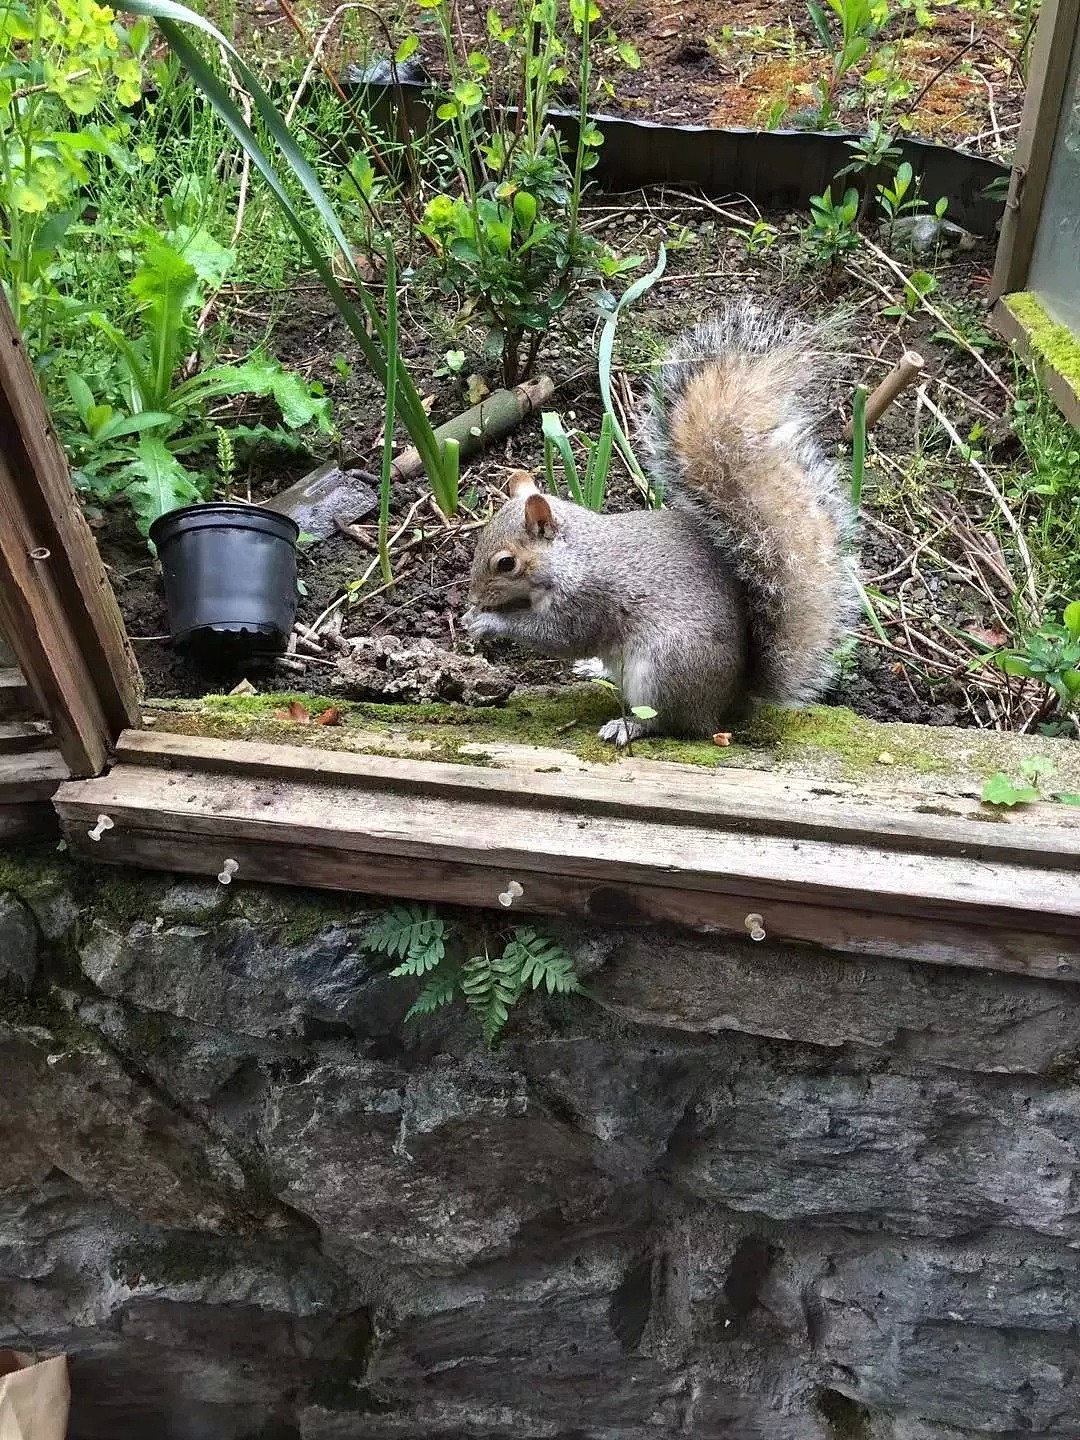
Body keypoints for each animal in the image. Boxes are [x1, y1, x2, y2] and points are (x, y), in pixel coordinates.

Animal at [460, 292, 858, 743]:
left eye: (506, 564)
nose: (474, 598)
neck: (572, 556)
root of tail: (729, 702)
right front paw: (472, 616)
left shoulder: (586, 602)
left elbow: (557, 637)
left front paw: (488, 621)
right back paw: (594, 669)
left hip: (663, 669)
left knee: (666, 721)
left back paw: (627, 725)